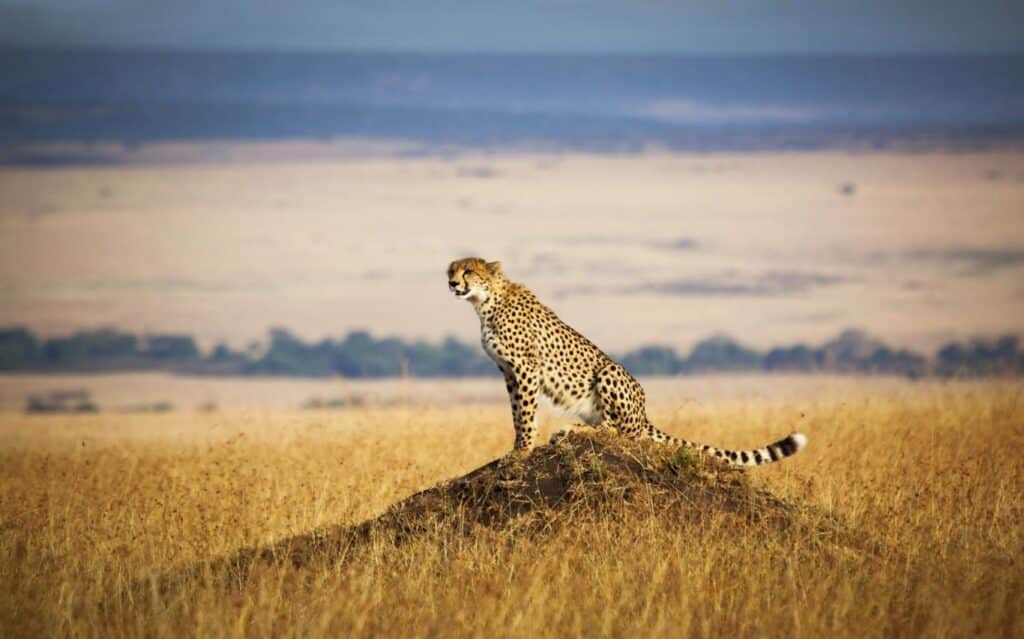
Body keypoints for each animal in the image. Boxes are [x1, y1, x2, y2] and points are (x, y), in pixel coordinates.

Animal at [447, 257, 807, 468]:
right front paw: (519, 445)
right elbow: (516, 413)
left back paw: (570, 429)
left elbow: (524, 414)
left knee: (618, 430)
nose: (452, 283)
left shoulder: (525, 368)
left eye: (469, 271)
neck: (485, 301)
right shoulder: (508, 372)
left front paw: (521, 450)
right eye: (451, 270)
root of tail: (644, 414)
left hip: (609, 372)